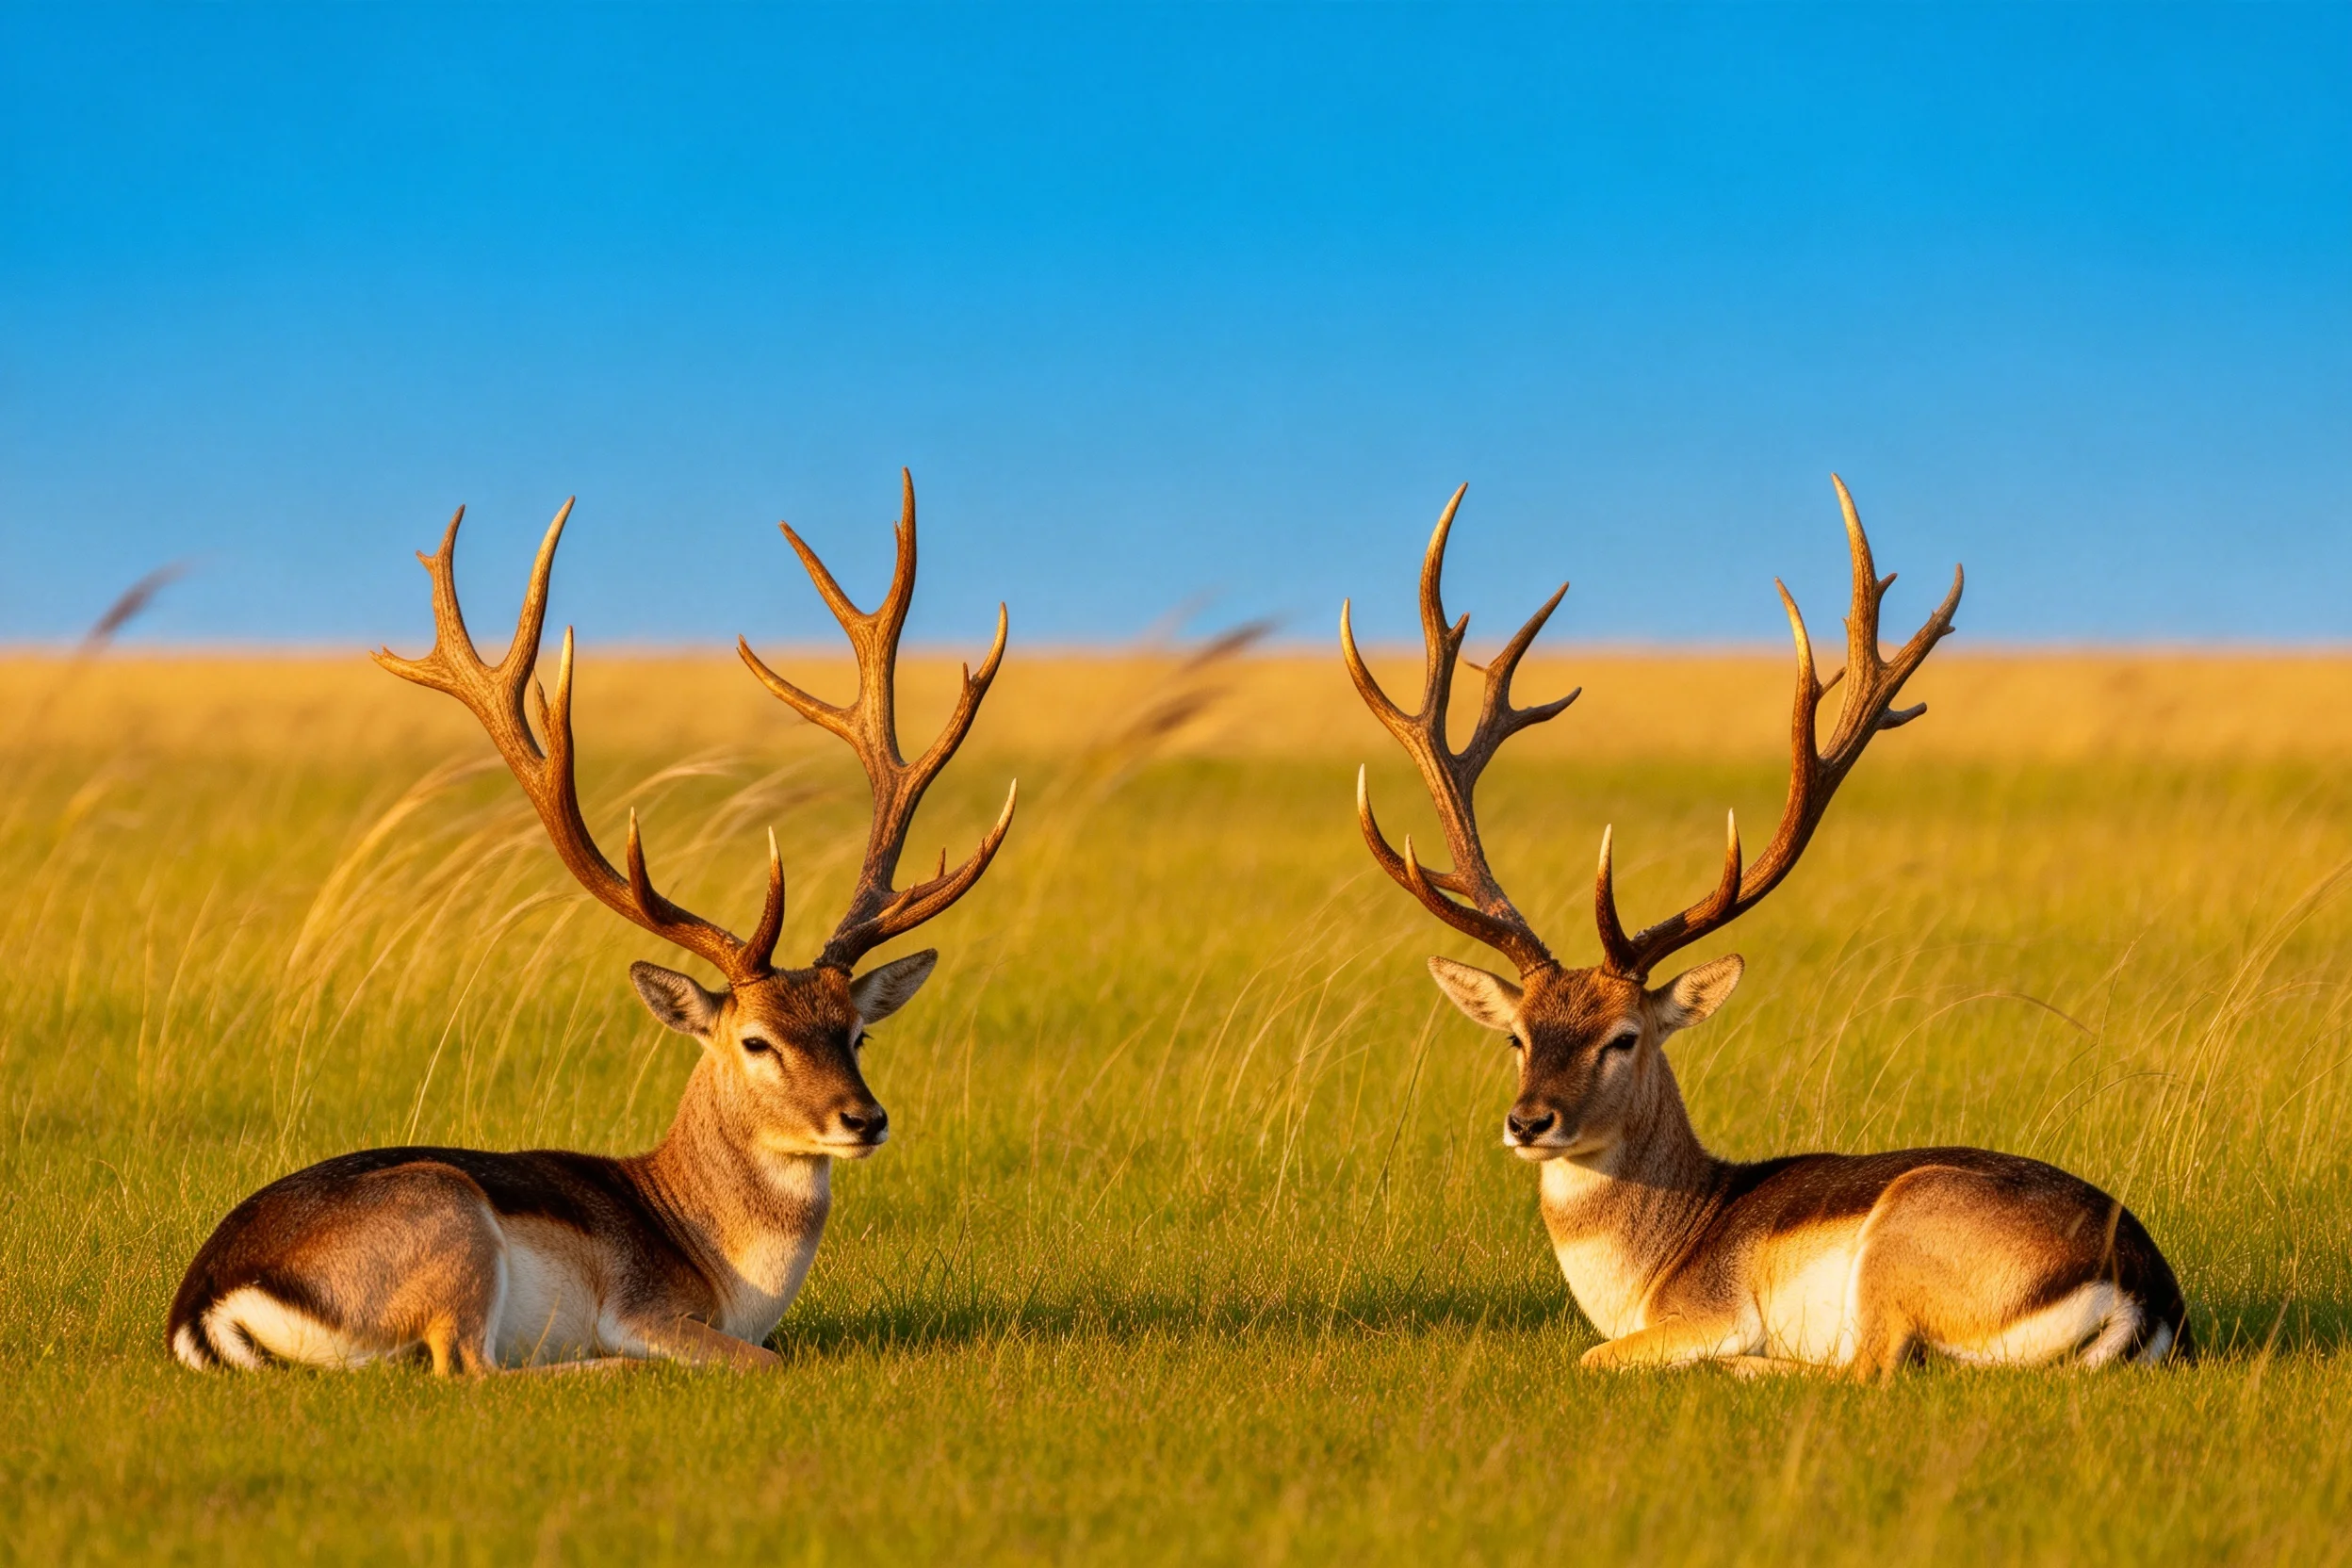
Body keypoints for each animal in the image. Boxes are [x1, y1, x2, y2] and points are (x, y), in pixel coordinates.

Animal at [169, 472, 1015, 1374]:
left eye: (858, 1032)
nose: (865, 1119)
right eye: (756, 1041)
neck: (720, 1261)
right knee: (467, 1366)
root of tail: (204, 1301)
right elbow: (766, 1357)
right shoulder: (648, 1304)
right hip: (449, 1216)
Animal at [1341, 479, 2187, 1377]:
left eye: (1624, 1036)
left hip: (1901, 1237)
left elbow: (1594, 1356)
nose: (1528, 1122)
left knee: (1873, 1366)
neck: (1663, 1253)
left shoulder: (1701, 1310)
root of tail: (2144, 1290)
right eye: (1517, 1036)